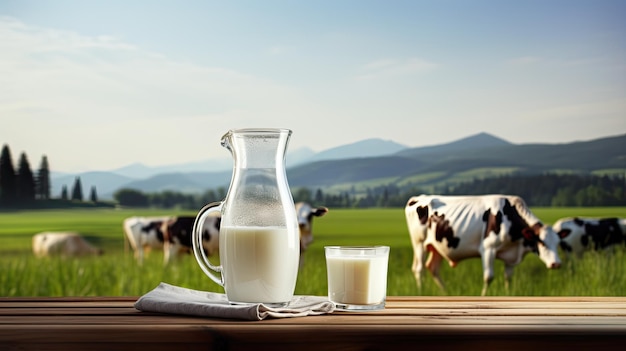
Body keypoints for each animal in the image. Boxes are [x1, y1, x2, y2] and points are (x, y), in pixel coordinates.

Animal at [404, 195, 560, 296]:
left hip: (437, 246)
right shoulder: (488, 248)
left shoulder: (510, 255)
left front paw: (508, 294)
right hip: (419, 243)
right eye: (542, 242)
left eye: (558, 243)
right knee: (419, 269)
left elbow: (508, 277)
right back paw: (421, 292)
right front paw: (483, 295)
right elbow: (488, 277)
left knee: (433, 268)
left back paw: (445, 293)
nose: (556, 264)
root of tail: (418, 198)